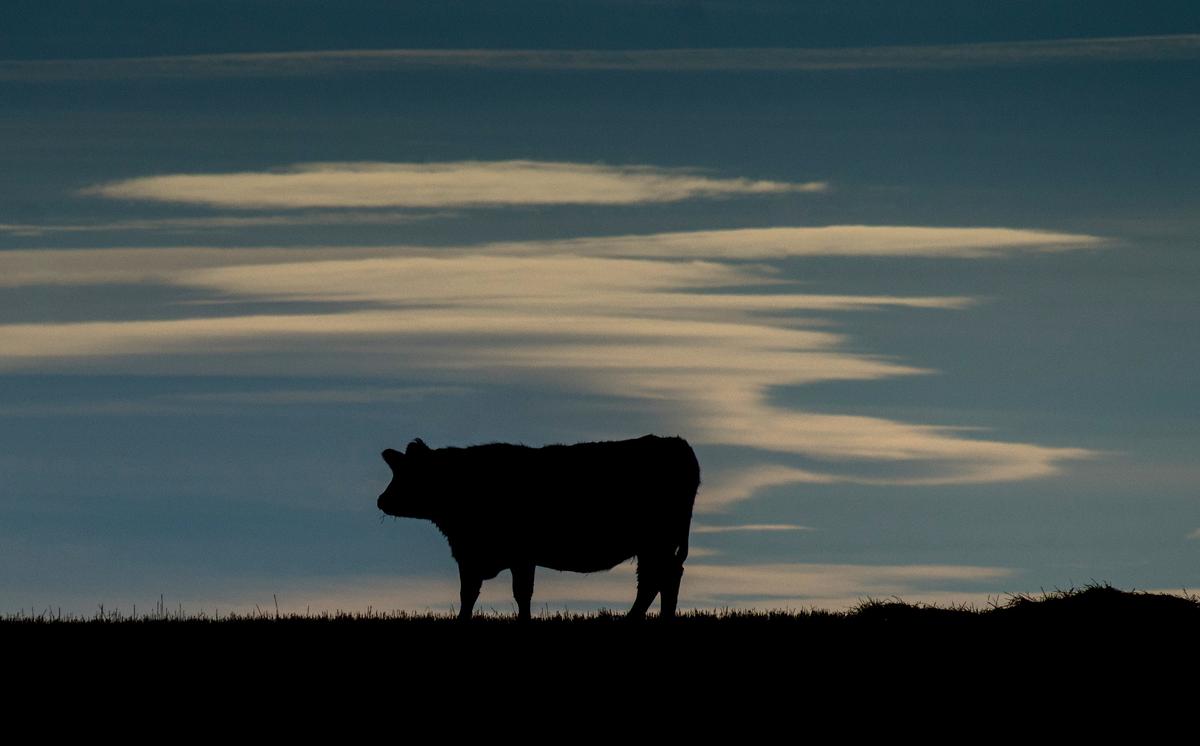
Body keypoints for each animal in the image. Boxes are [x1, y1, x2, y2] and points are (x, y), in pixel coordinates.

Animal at [377, 434, 700, 621]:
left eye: (406, 473)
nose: (382, 500)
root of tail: (678, 444)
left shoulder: (511, 555)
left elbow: (516, 592)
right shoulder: (476, 555)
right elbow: (472, 593)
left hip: (656, 541)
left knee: (657, 579)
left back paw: (634, 620)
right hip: (656, 544)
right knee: (664, 578)